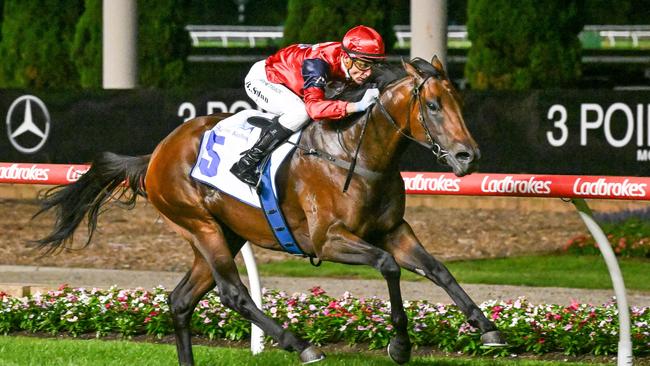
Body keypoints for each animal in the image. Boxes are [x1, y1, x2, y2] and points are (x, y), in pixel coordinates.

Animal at [33, 57, 504, 364]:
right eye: (433, 106)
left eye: (460, 103)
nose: (469, 157)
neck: (353, 151)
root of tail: (156, 153)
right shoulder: (328, 240)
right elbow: (388, 267)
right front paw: (400, 345)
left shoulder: (394, 230)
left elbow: (438, 269)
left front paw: (488, 328)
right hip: (199, 225)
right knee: (232, 293)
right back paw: (301, 345)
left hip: (225, 232)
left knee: (181, 300)